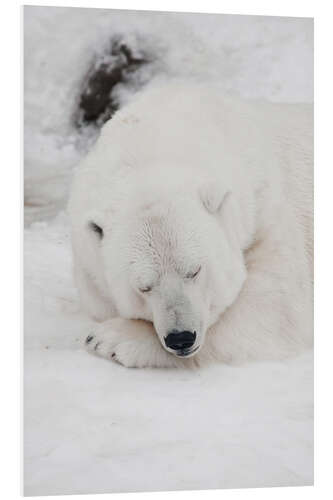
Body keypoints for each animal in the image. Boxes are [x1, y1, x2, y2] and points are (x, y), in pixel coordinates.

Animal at [67, 83, 312, 368]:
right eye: (143, 286)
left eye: (195, 270)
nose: (181, 337)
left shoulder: (266, 210)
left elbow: (274, 307)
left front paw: (111, 339)